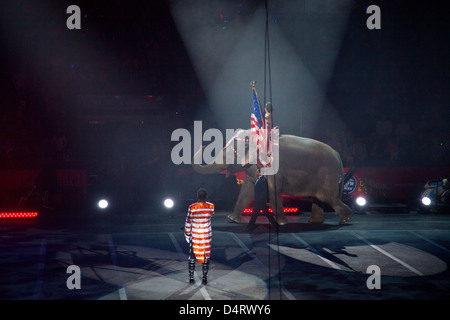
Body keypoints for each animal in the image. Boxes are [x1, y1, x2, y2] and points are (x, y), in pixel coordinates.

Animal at [192, 128, 354, 225]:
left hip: (328, 174)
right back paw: (315, 221)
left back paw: (345, 219)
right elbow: (247, 189)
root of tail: (337, 155)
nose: (203, 145)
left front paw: (282, 223)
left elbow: (272, 190)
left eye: (229, 154)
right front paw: (232, 219)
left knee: (328, 197)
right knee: (319, 198)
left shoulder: (273, 166)